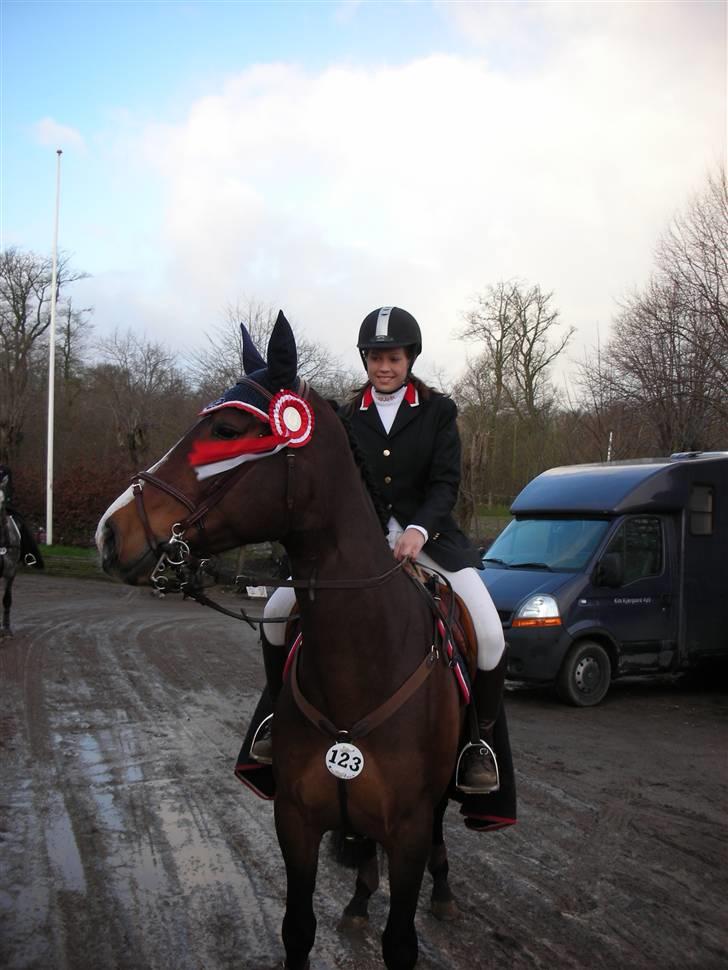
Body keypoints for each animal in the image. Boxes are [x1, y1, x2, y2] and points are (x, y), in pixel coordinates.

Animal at [94, 312, 486, 968]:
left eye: (226, 430)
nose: (107, 534)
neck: (364, 660)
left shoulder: (407, 829)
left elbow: (400, 940)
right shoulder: (296, 822)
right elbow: (297, 929)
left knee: (438, 831)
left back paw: (447, 892)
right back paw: (359, 899)